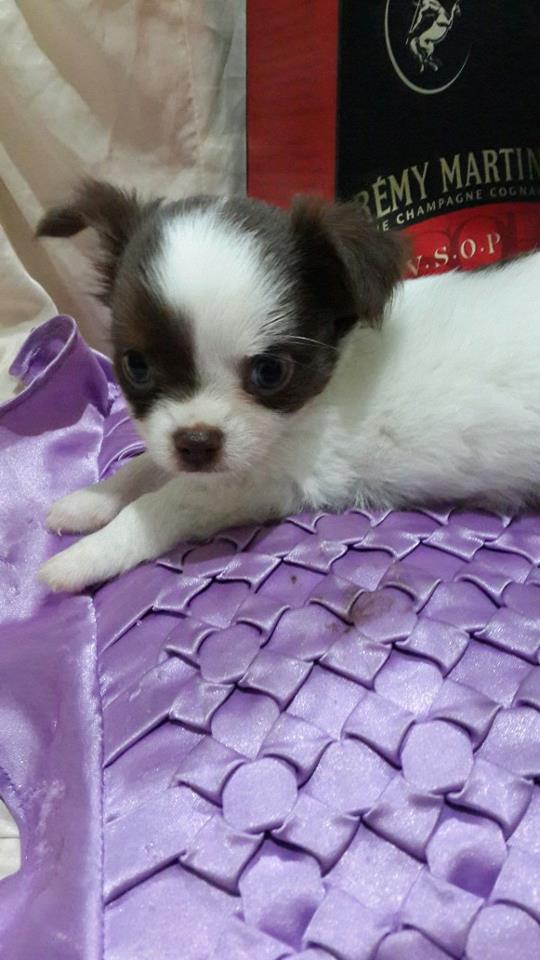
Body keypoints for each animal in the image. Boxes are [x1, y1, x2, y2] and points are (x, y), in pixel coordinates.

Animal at [36, 179, 540, 592]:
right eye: (137, 366)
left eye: (270, 373)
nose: (197, 443)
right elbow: (144, 467)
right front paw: (90, 501)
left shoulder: (263, 479)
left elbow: (164, 503)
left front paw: (86, 556)